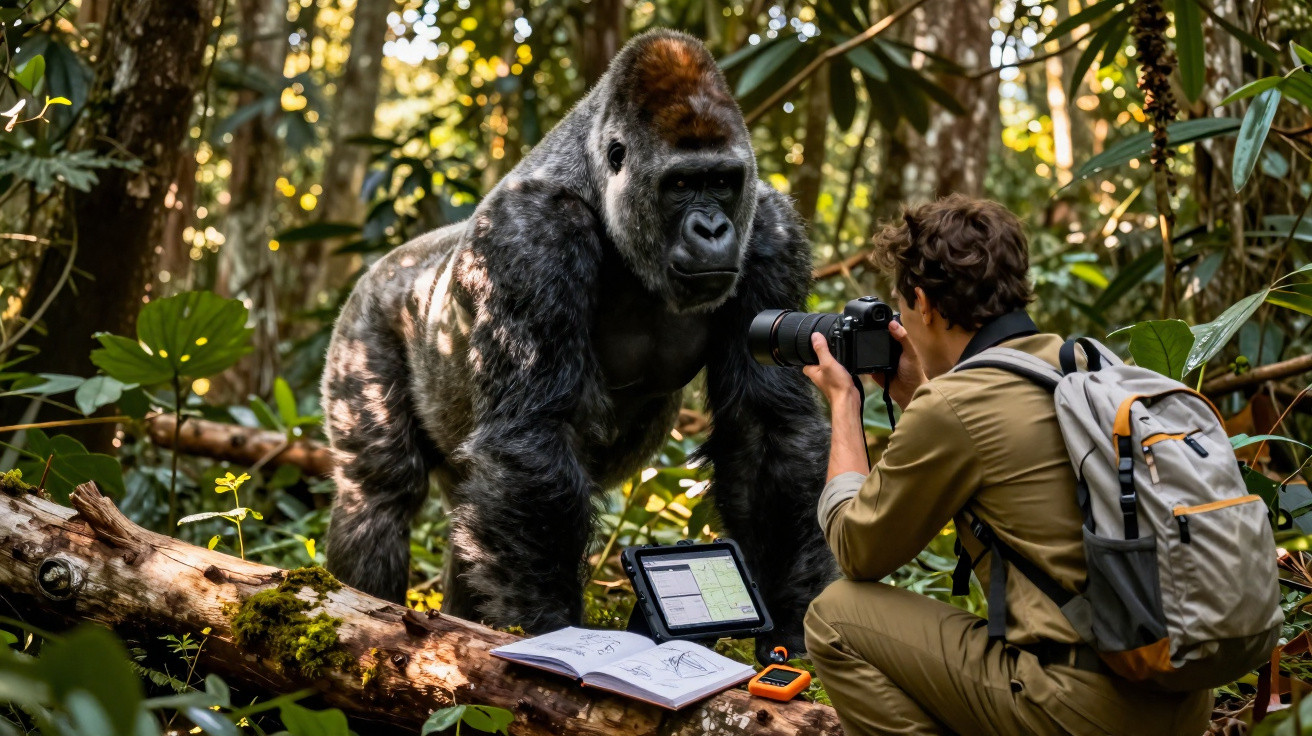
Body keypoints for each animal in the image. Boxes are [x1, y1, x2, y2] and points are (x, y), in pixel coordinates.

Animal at [320, 28, 836, 660]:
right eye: (680, 185)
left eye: (721, 181)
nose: (713, 229)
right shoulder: (528, 234)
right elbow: (533, 432)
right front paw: (552, 631)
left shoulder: (770, 229)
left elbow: (767, 426)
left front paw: (792, 624)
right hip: (363, 323)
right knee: (378, 492)